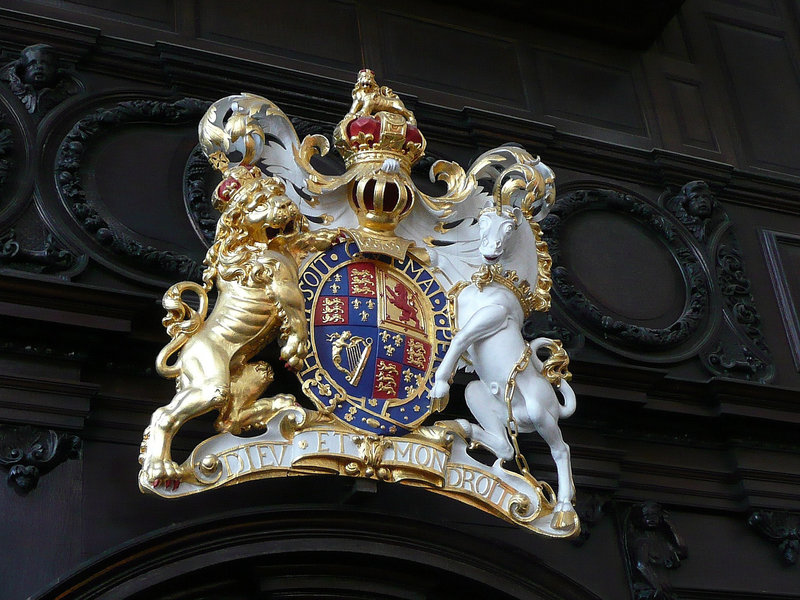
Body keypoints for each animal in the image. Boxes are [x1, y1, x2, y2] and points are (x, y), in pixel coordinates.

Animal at [138, 168, 338, 488]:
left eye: (278, 192)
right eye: (259, 202)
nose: (286, 204)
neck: (252, 244)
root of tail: (182, 360)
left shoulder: (284, 253)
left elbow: (297, 242)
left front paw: (327, 236)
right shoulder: (277, 276)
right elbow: (294, 308)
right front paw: (296, 347)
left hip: (253, 371)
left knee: (228, 418)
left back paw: (273, 406)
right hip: (210, 382)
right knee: (165, 415)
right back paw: (160, 469)